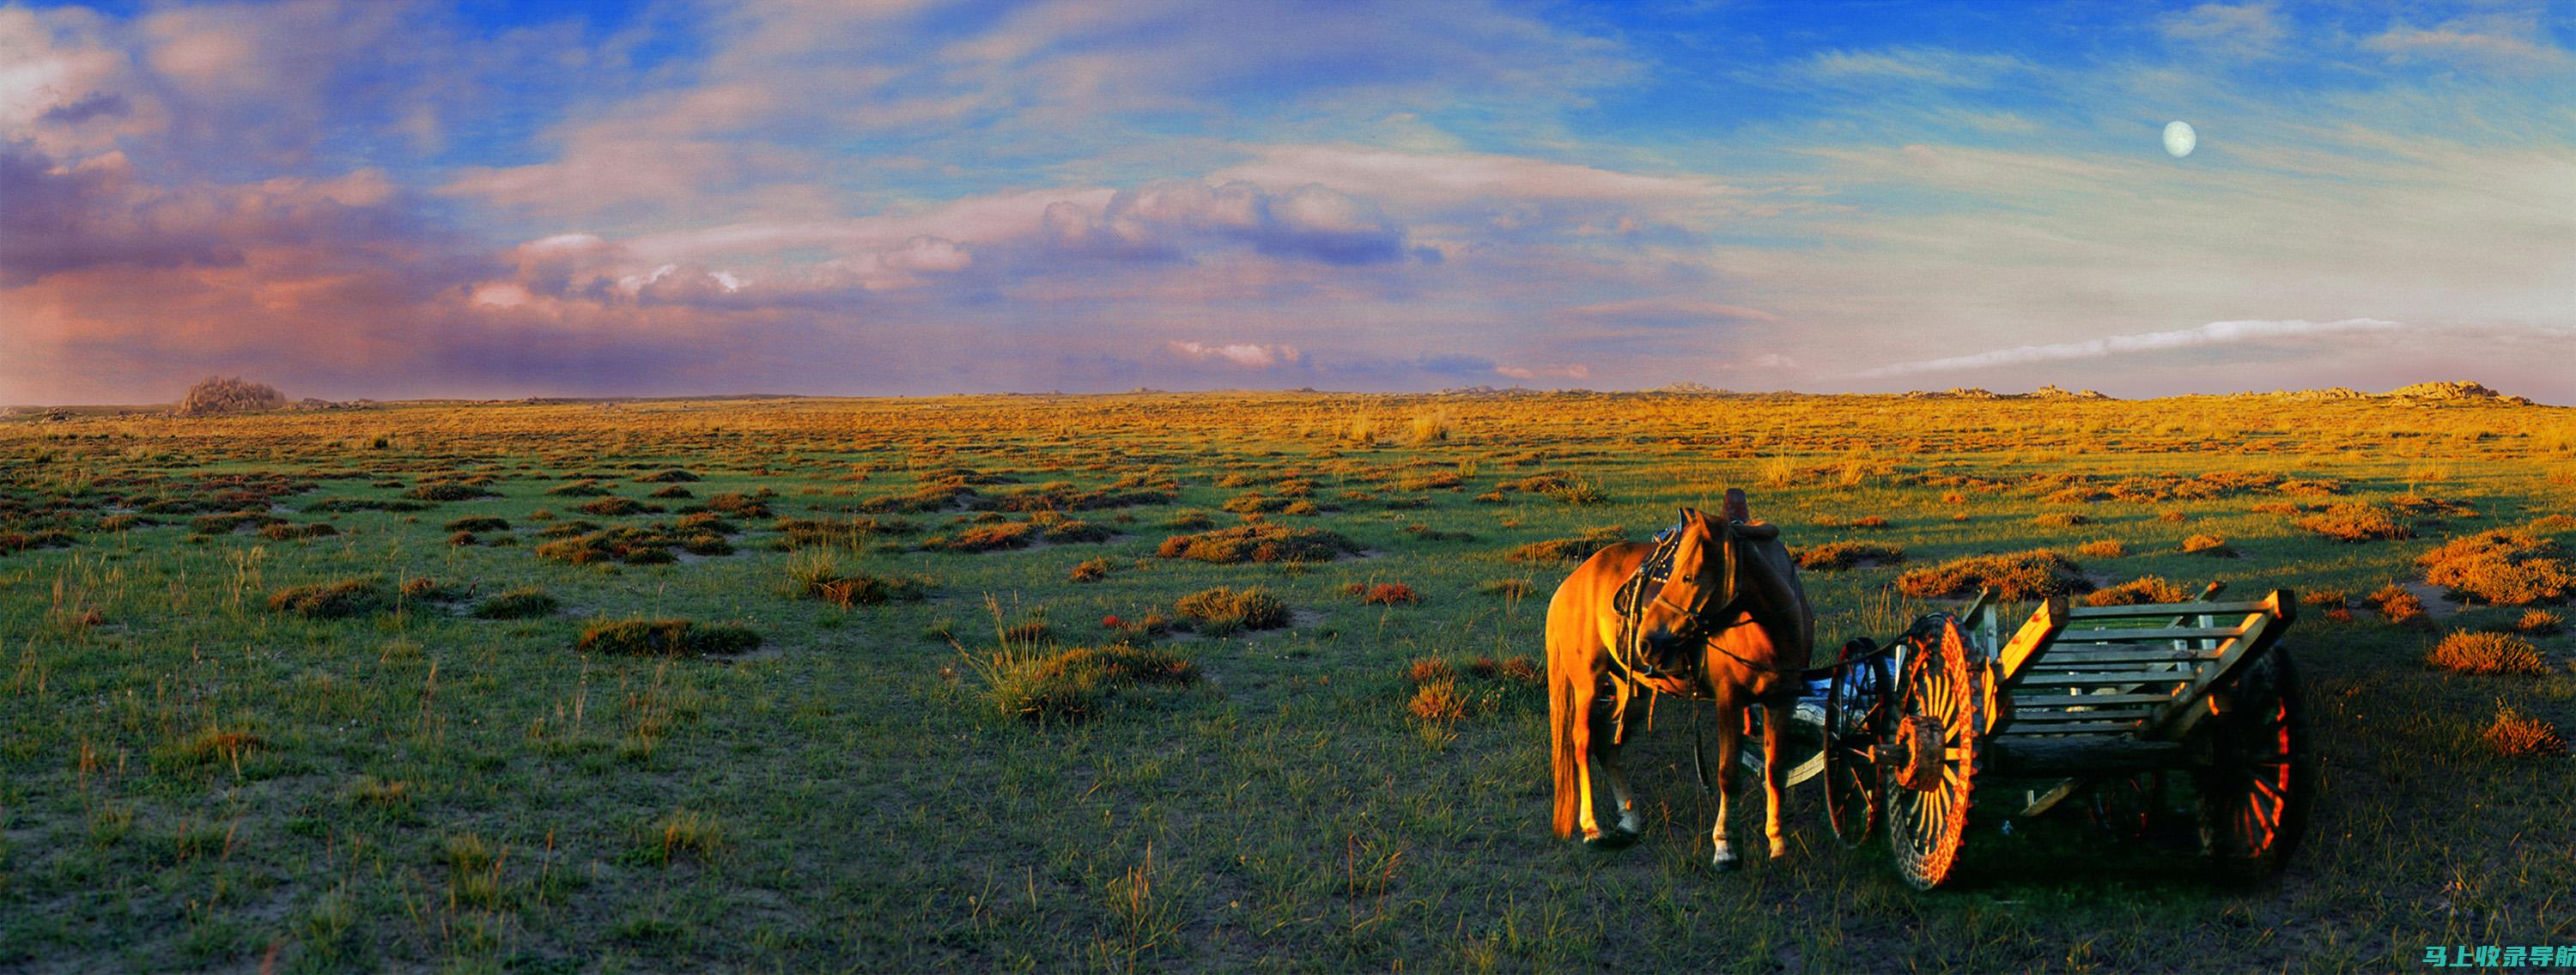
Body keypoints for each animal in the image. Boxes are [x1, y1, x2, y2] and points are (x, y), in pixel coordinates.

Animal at [1546, 490, 1814, 871]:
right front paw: (1725, 847)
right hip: (1588, 685)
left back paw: (1629, 821)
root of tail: (1570, 585)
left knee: (1607, 745)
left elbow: (1776, 769)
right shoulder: (1729, 699)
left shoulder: (1782, 699)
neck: (1772, 629)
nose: (1646, 642)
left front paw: (1778, 842)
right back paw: (1592, 827)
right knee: (1582, 742)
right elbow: (1728, 773)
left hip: (1632, 691)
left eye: (1688, 577)